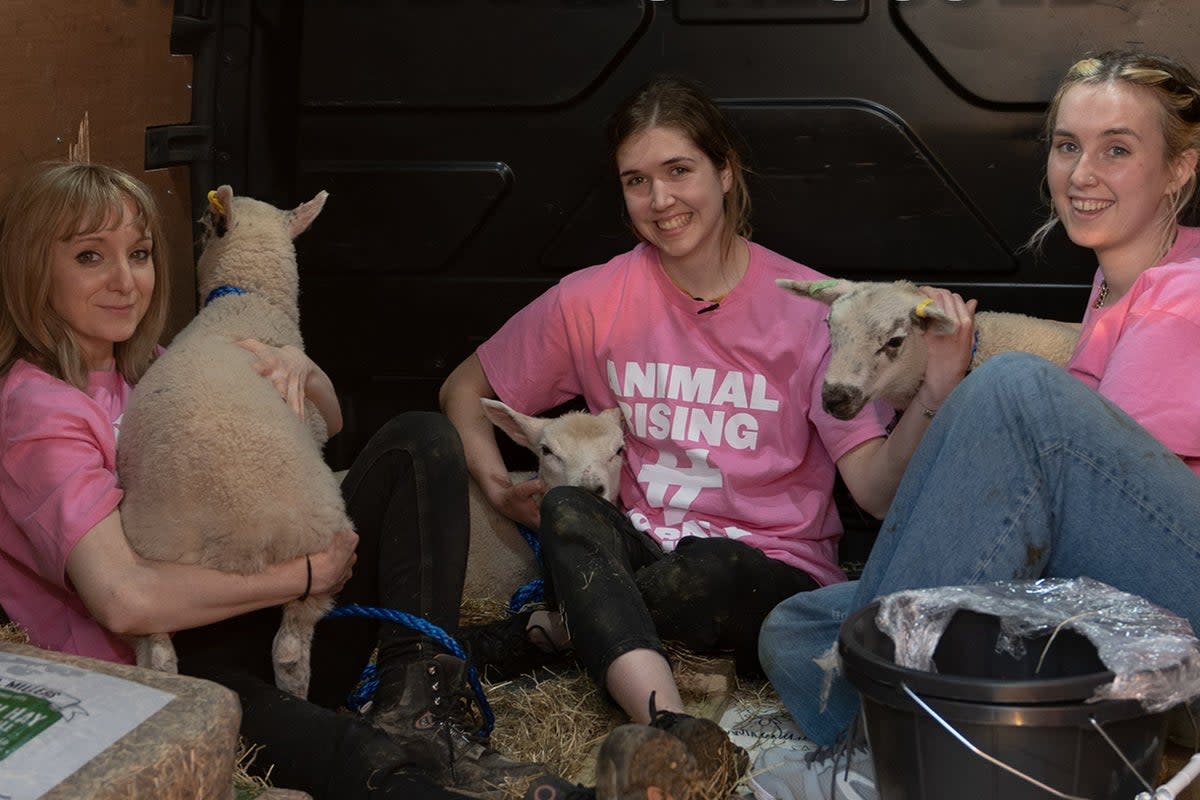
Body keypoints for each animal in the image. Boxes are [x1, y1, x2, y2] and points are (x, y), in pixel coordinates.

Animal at [118, 184, 348, 695]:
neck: (247, 298)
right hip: (322, 542)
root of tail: (233, 531)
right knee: (290, 648)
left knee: (155, 649)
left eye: (204, 226)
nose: (194, 233)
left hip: (149, 558)